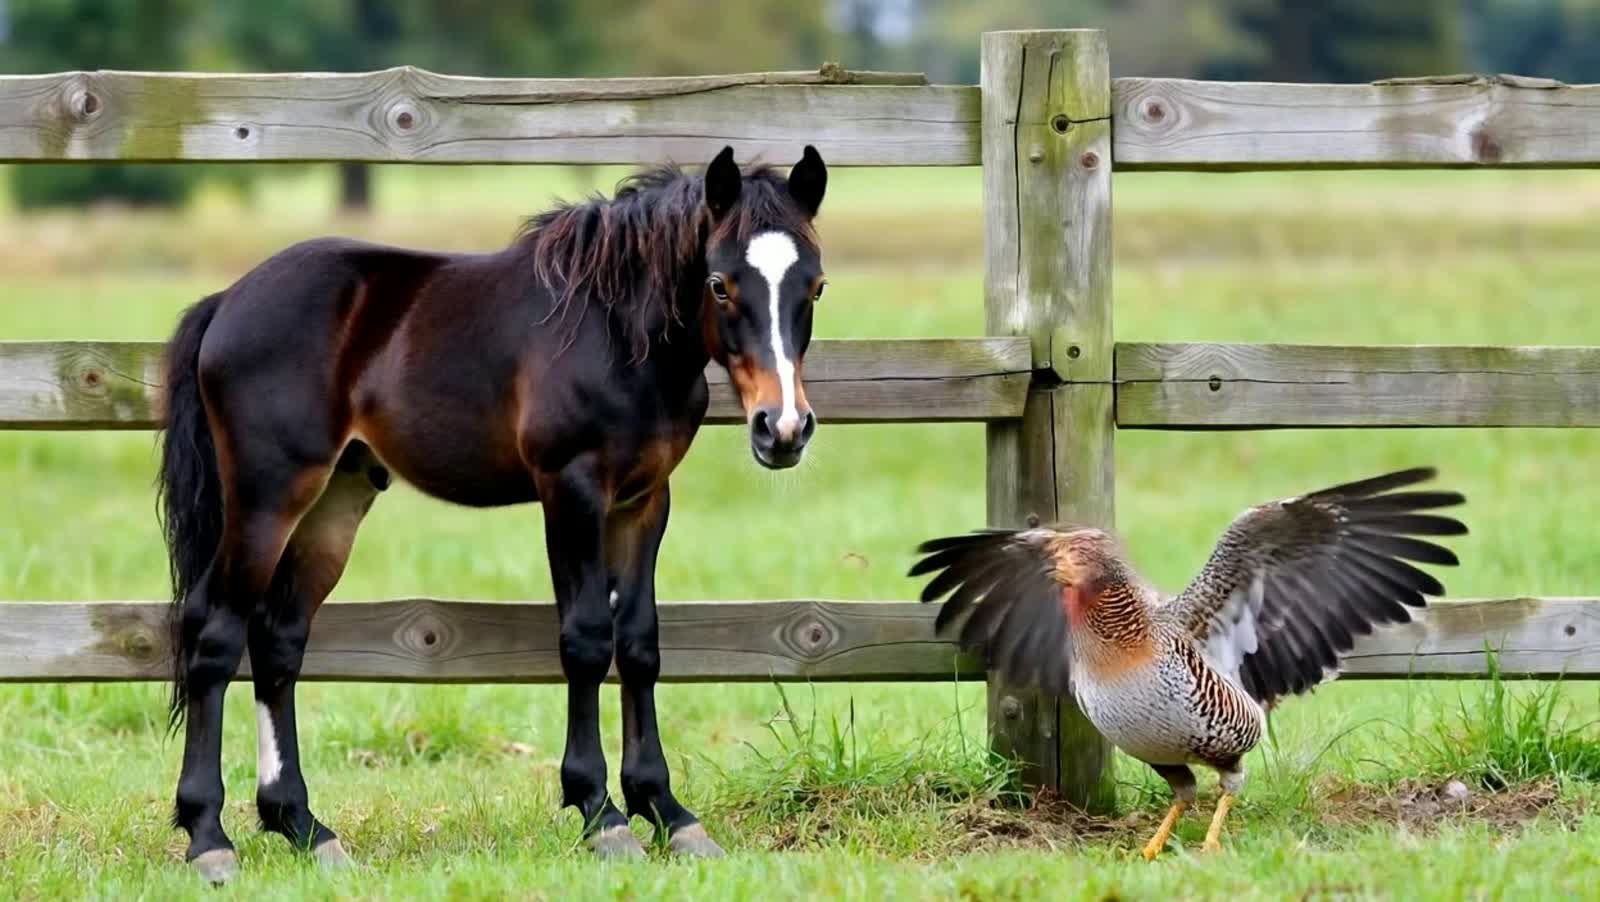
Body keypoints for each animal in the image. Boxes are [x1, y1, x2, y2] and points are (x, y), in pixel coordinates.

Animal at [154, 145, 829, 883]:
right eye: (719, 284)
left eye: (815, 286)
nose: (783, 429)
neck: (615, 334)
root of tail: (226, 303)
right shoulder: (572, 489)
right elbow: (586, 640)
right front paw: (601, 815)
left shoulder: (645, 500)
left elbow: (639, 645)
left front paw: (669, 814)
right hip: (267, 496)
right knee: (215, 635)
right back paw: (209, 838)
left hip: (334, 501)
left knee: (278, 640)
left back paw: (304, 826)